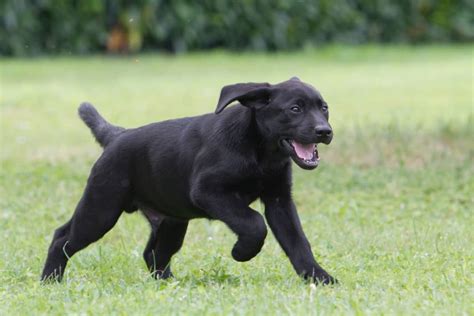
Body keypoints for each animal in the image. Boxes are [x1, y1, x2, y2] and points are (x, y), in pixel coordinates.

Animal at [41, 76, 336, 284]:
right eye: (295, 109)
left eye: (324, 108)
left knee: (154, 254)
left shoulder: (279, 201)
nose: (325, 131)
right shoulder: (208, 191)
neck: (261, 150)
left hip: (171, 221)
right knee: (62, 238)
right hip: (101, 208)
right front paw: (241, 252)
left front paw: (319, 277)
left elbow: (297, 242)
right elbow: (254, 223)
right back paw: (50, 280)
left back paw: (168, 283)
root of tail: (116, 136)